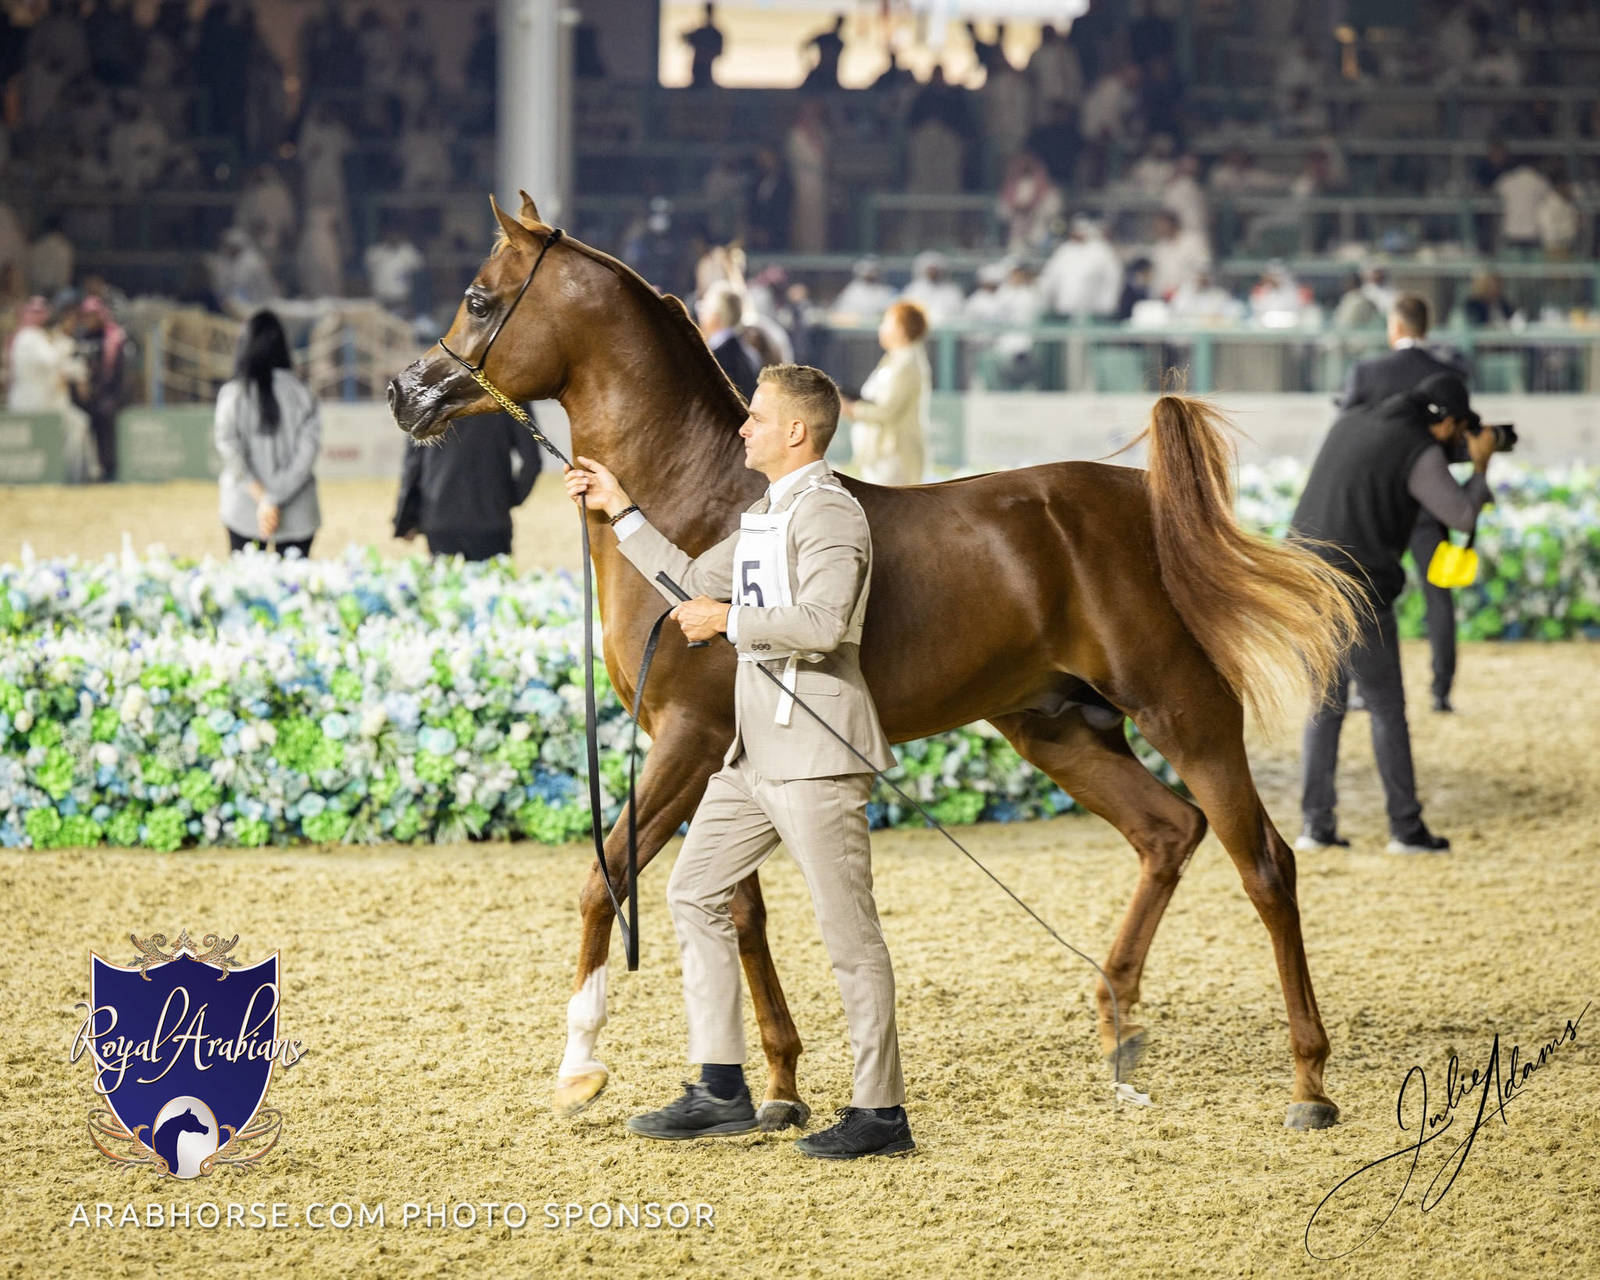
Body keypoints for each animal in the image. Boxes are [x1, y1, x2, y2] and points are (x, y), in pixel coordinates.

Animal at [388, 193, 1364, 1132]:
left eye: (481, 297)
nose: (404, 391)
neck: (700, 508)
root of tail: (1143, 498)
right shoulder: (727, 757)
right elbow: (740, 910)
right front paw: (775, 1084)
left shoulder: (686, 740)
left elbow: (607, 879)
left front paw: (579, 1066)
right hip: (1060, 728)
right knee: (1167, 831)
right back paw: (1118, 1029)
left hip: (1184, 710)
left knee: (1264, 864)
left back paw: (1309, 1082)